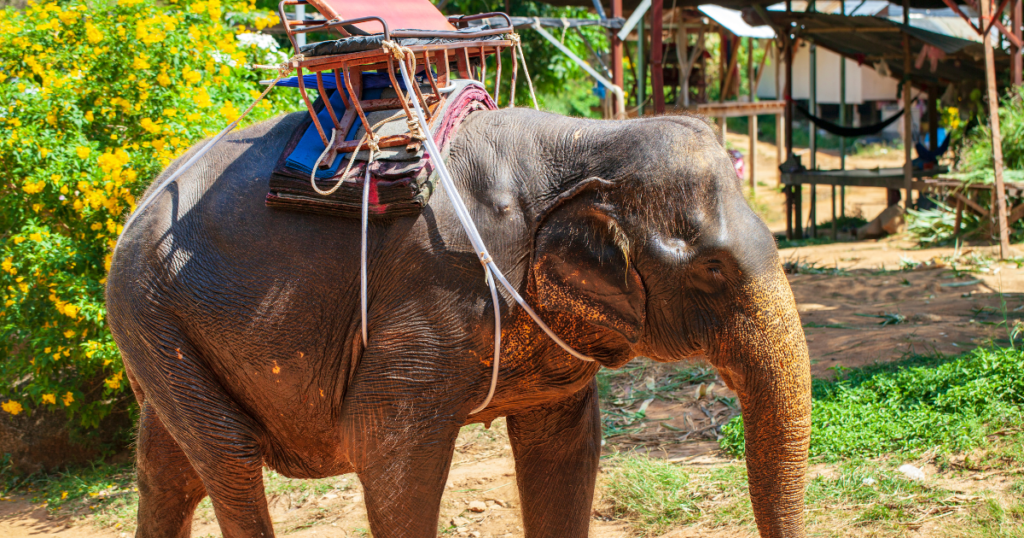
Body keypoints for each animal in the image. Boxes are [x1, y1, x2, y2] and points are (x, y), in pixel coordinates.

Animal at [108, 106, 811, 536]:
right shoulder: (436, 294)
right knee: (226, 458)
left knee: (167, 469)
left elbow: (565, 447)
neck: (585, 142)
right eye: (713, 270)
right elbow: (388, 451)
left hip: (159, 331)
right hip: (151, 314)